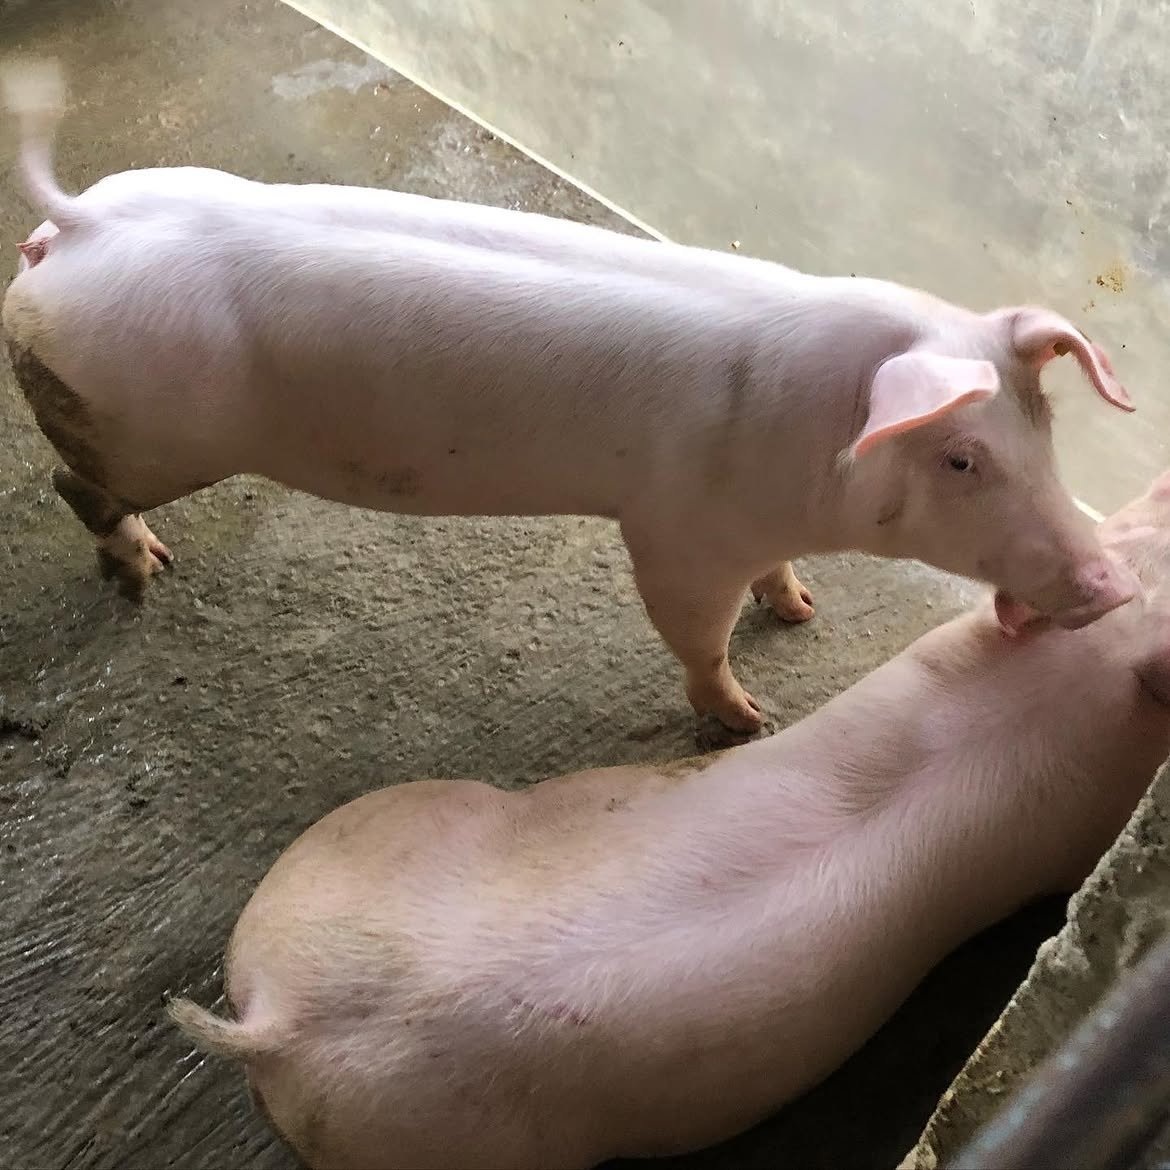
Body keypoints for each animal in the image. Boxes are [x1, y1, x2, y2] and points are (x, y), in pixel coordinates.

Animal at [1, 61, 1137, 732]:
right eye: (961, 458)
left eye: (1045, 427)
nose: (1118, 582)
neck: (806, 446)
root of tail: (84, 227)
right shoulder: (673, 532)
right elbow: (695, 632)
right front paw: (752, 720)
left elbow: (772, 578)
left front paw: (804, 609)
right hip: (146, 430)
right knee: (73, 484)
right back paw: (145, 571)